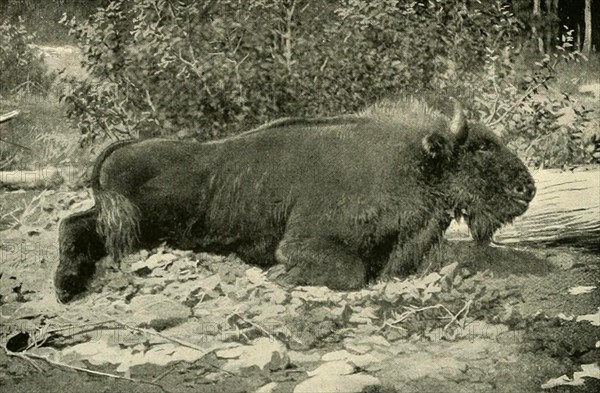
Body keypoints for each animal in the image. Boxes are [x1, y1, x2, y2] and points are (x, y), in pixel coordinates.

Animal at [55, 98, 536, 300]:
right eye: (481, 147)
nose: (527, 188)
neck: (414, 160)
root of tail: (121, 150)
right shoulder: (306, 241)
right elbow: (348, 271)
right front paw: (281, 278)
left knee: (75, 224)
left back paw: (67, 286)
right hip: (137, 222)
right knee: (73, 225)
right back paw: (66, 287)